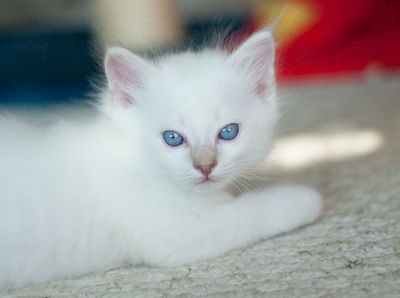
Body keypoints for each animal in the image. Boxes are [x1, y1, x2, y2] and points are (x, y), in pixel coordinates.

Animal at [0, 29, 322, 290]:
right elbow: (251, 211)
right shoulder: (174, 233)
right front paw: (304, 199)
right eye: (172, 138)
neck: (137, 164)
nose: (205, 166)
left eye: (228, 132)